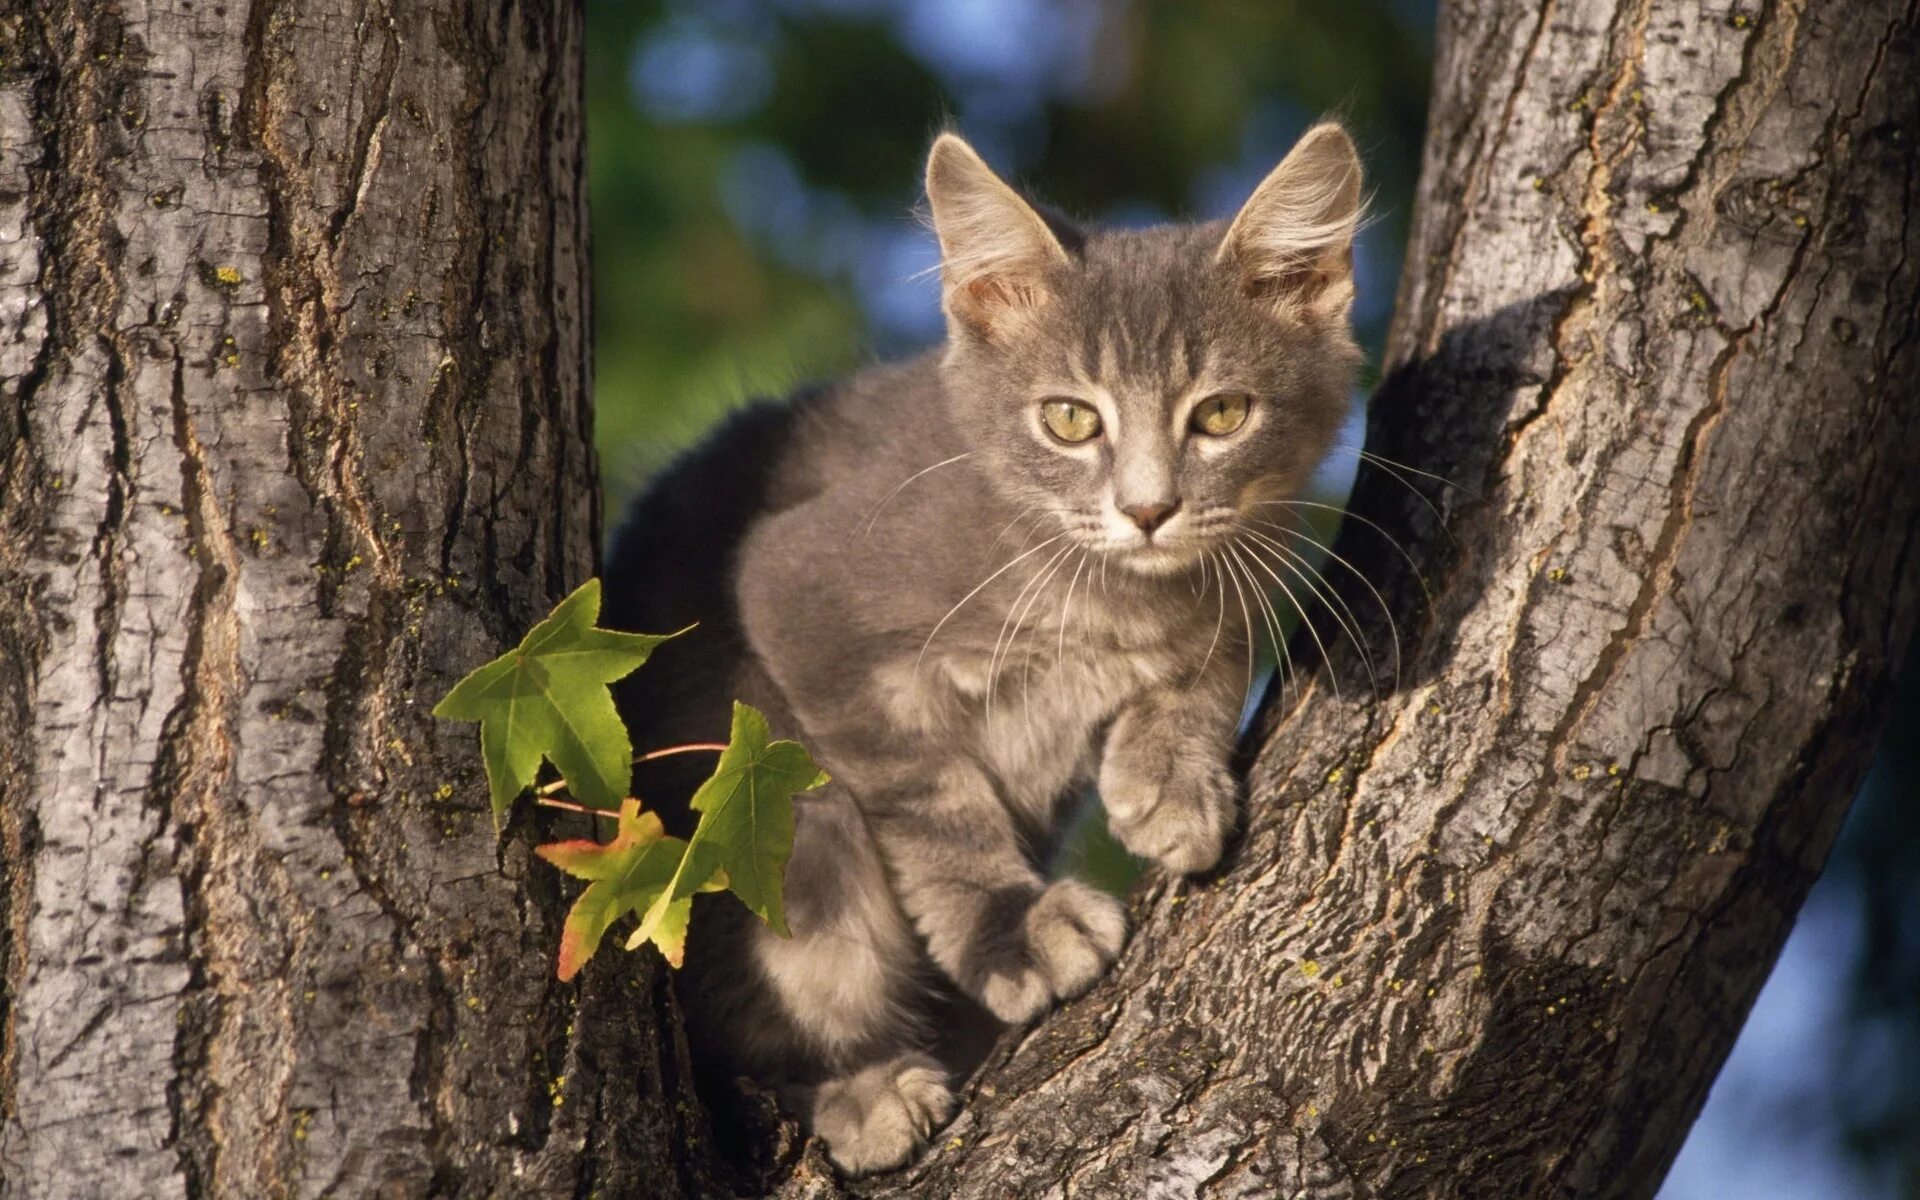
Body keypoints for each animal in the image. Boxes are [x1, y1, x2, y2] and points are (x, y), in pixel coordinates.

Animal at [602, 121, 1367, 1167]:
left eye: (1221, 415)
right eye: (1070, 418)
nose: (1148, 510)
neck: (1108, 591)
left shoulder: (1251, 562)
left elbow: (1210, 655)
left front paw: (1169, 776)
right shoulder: (798, 589)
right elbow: (933, 800)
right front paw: (1011, 927)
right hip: (755, 791)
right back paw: (857, 1091)